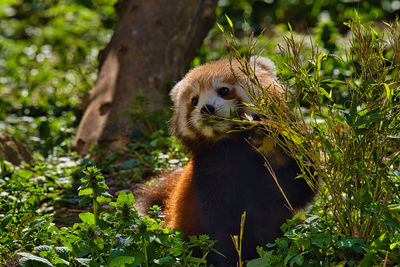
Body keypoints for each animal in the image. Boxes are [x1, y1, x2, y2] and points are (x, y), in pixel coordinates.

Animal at [138, 56, 316, 266]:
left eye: (223, 90)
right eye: (194, 100)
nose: (206, 108)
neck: (232, 146)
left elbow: (299, 186)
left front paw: (272, 147)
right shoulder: (209, 177)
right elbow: (225, 230)